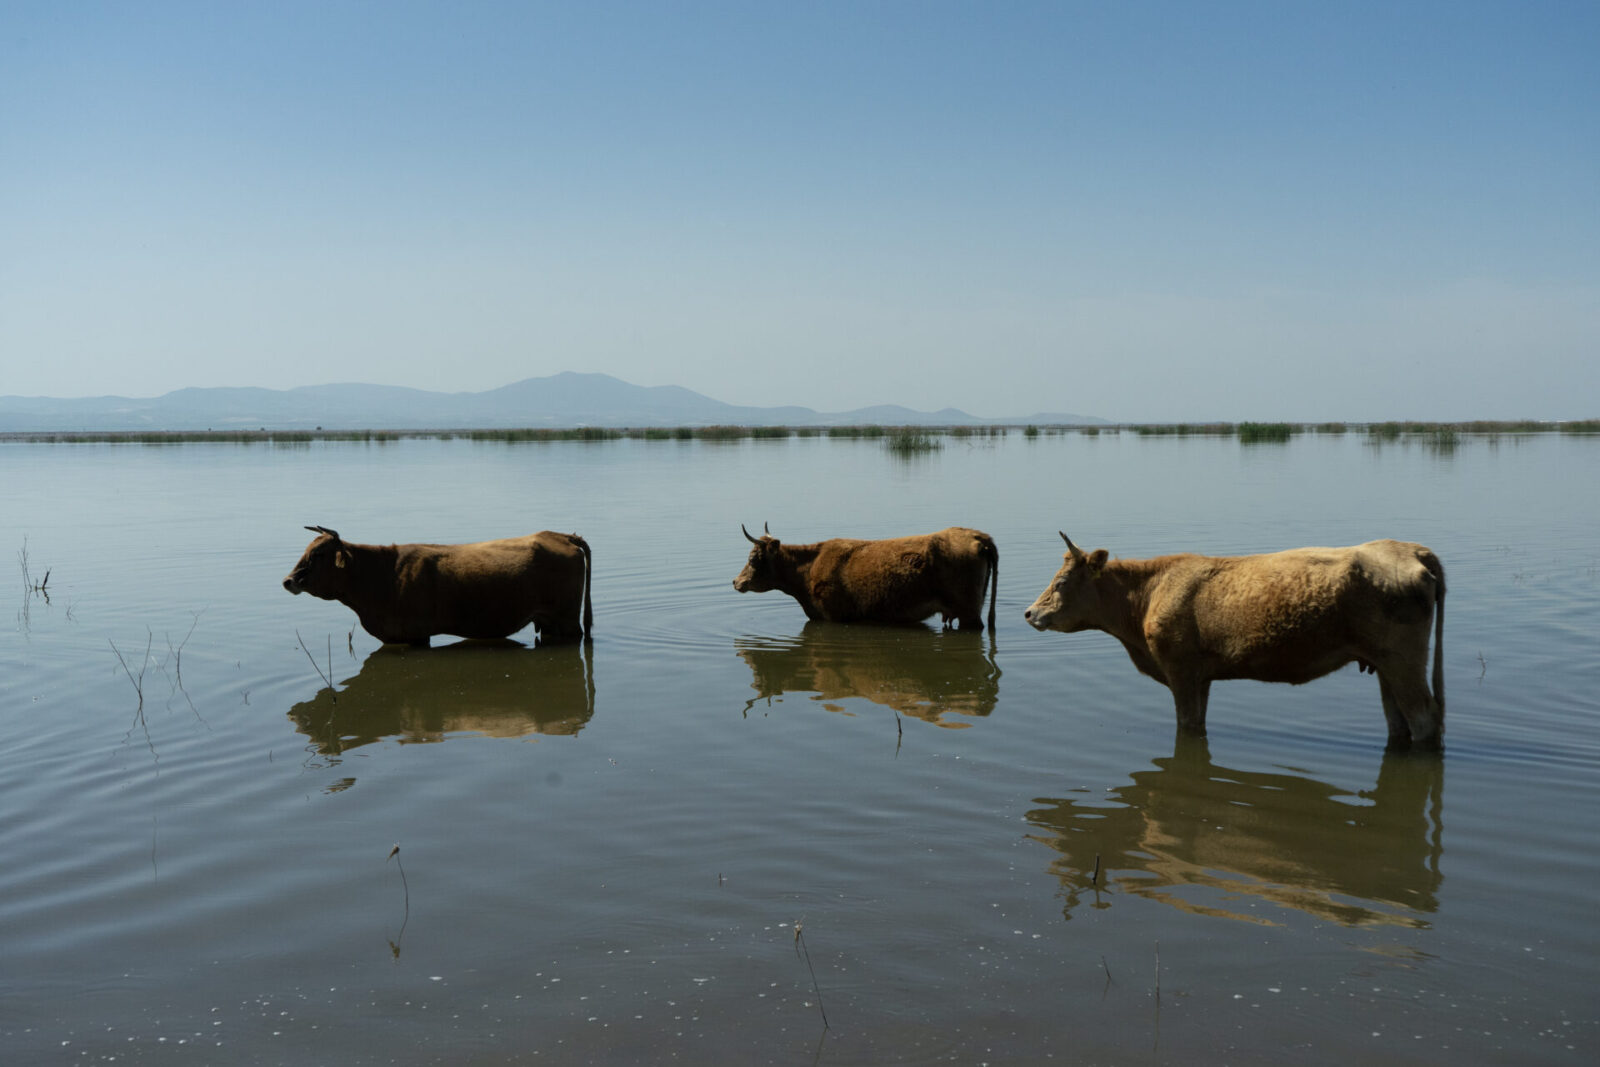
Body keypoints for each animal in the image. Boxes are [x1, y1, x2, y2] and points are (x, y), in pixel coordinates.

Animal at [283, 524, 595, 643]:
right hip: (550, 622)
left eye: (319, 554)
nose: (288, 580)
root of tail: (560, 535)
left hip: (567, 620)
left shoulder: (416, 636)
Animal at [732, 524, 992, 630]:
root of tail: (978, 536)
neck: (808, 569)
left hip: (968, 613)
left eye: (753, 558)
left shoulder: (832, 617)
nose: (735, 582)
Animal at [1024, 531, 1452, 748]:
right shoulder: (1202, 676)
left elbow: (1187, 726)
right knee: (1398, 720)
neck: (1145, 596)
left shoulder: (1180, 670)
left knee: (1424, 717)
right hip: (1384, 664)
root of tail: (1413, 550)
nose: (1029, 613)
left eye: (1060, 583)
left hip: (1402, 660)